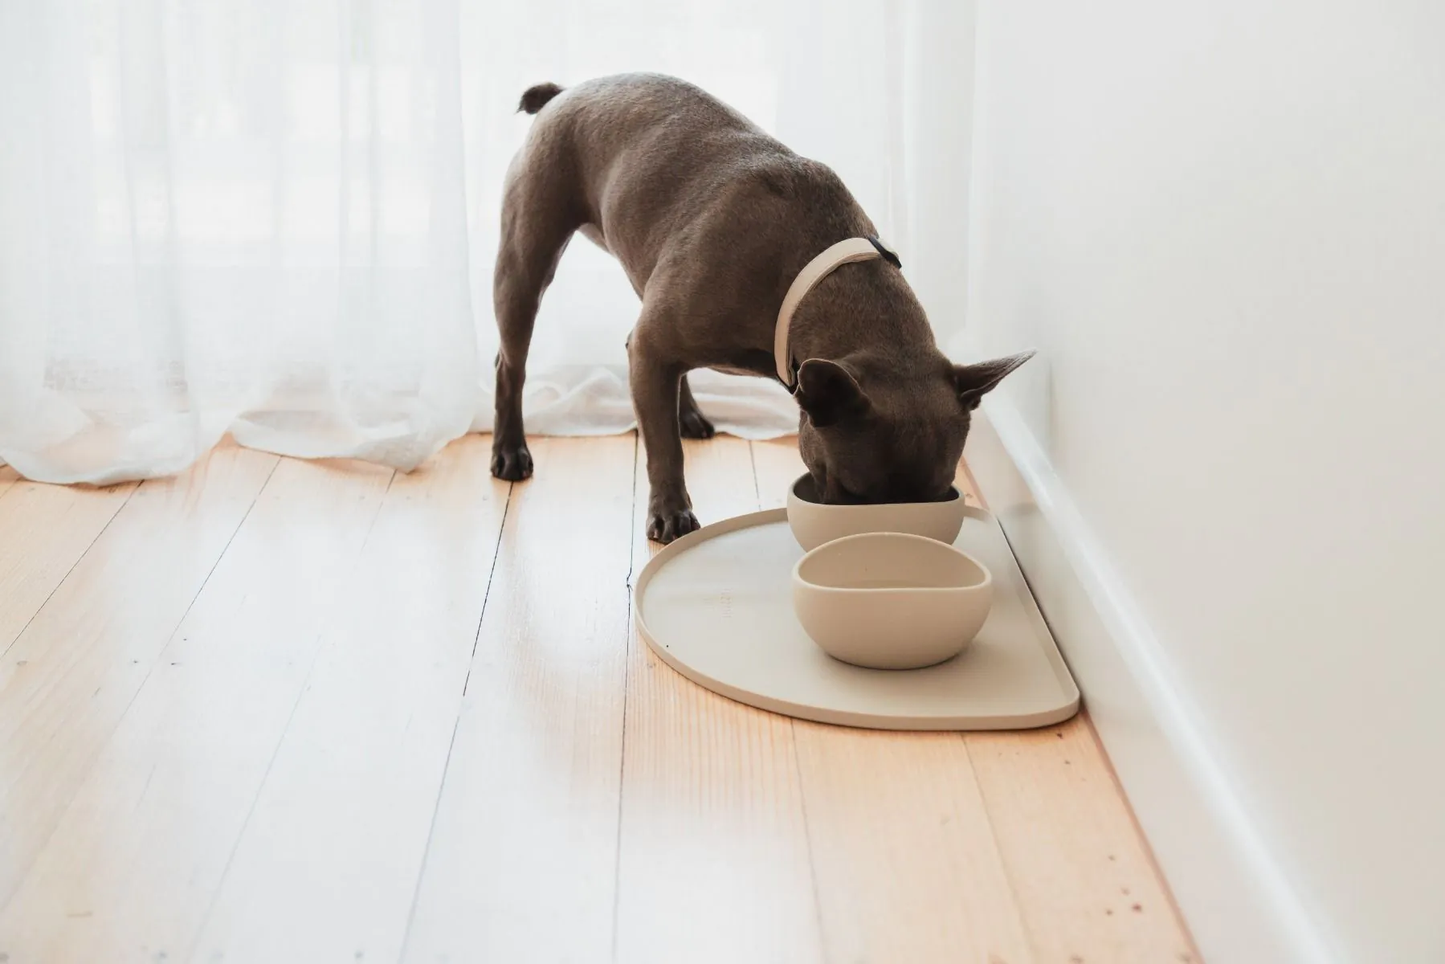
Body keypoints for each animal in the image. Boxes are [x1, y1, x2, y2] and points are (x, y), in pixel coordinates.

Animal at [491, 73, 1034, 543]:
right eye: (852, 491)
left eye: (939, 495)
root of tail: (565, 92)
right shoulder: (653, 345)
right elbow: (662, 450)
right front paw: (671, 512)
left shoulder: (656, 344)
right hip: (525, 260)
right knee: (511, 363)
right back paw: (510, 450)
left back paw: (686, 413)